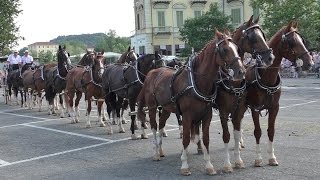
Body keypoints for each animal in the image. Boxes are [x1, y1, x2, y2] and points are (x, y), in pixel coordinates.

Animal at [137, 30, 245, 175]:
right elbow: (186, 139)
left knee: (161, 125)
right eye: (224, 49)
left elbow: (206, 139)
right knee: (154, 126)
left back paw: (160, 150)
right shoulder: (187, 116)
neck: (197, 81)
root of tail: (152, 73)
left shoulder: (207, 115)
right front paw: (184, 165)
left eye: (237, 49)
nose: (241, 71)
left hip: (166, 109)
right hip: (153, 107)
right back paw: (155, 153)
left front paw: (209, 165)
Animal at [216, 15, 274, 173]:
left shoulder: (240, 108)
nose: (270, 57)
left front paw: (238, 157)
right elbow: (226, 135)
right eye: (252, 37)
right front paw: (228, 164)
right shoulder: (223, 111)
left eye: (263, 34)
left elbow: (236, 132)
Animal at [244, 21, 314, 167]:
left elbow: (271, 131)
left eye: (302, 40)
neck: (266, 78)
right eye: (292, 41)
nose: (310, 63)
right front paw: (258, 159)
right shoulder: (255, 108)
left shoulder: (274, 108)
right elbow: (257, 132)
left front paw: (272, 157)